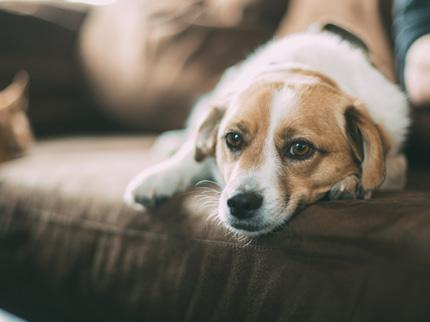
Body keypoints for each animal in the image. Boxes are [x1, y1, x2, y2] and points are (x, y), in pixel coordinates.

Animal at [123, 25, 410, 236]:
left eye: (300, 148)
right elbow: (190, 156)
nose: (240, 203)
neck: (301, 68)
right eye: (233, 138)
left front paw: (350, 182)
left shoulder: (395, 161)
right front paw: (158, 178)